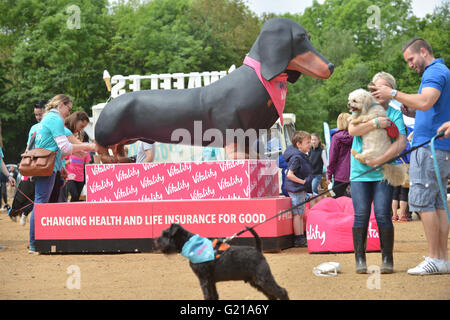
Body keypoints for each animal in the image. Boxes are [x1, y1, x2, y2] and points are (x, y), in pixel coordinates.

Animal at [96, 16, 334, 159]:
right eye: (301, 38)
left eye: (308, 37)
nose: (331, 66)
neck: (259, 80)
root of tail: (110, 104)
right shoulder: (232, 129)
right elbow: (238, 153)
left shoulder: (250, 133)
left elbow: (251, 152)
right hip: (108, 134)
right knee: (101, 151)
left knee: (117, 150)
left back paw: (123, 159)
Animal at [155, 222, 288, 300]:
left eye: (165, 234)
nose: (156, 241)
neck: (192, 245)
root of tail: (258, 250)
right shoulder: (210, 281)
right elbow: (214, 296)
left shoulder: (203, 279)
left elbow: (207, 296)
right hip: (255, 281)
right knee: (272, 295)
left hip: (263, 278)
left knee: (282, 292)